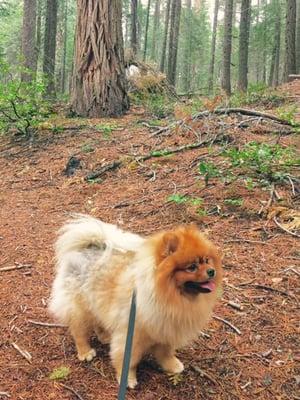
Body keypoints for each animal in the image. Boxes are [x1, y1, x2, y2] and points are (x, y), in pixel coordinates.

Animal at [49, 216, 223, 388]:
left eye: (207, 260)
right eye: (192, 267)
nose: (211, 271)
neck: (168, 295)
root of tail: (86, 247)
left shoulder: (166, 328)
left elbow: (166, 352)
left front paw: (172, 365)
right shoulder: (132, 335)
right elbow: (128, 360)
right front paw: (128, 379)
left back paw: (104, 336)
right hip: (80, 307)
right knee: (79, 331)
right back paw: (85, 352)